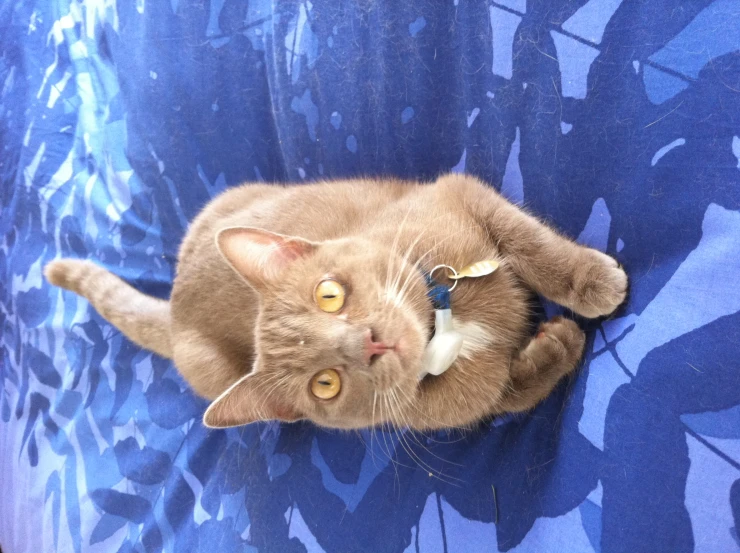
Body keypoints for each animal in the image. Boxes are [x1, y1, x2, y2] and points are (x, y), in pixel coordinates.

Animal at [43, 175, 628, 430]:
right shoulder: (468, 405)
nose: (368, 342)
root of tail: (175, 304)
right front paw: (558, 345)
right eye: (325, 385)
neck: (444, 327)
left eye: (329, 295)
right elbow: (515, 393)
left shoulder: (456, 192)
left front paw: (591, 281)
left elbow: (527, 240)